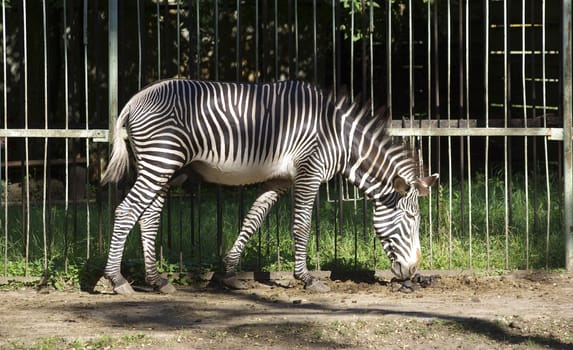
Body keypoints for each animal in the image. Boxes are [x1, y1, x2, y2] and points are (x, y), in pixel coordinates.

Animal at [101, 78, 438, 292]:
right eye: (412, 219)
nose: (413, 272)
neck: (338, 139)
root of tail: (134, 99)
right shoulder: (308, 172)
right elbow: (301, 226)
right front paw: (306, 279)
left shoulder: (280, 180)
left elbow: (253, 220)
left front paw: (229, 274)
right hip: (160, 160)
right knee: (126, 212)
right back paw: (117, 280)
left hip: (166, 169)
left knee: (148, 217)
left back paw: (157, 281)